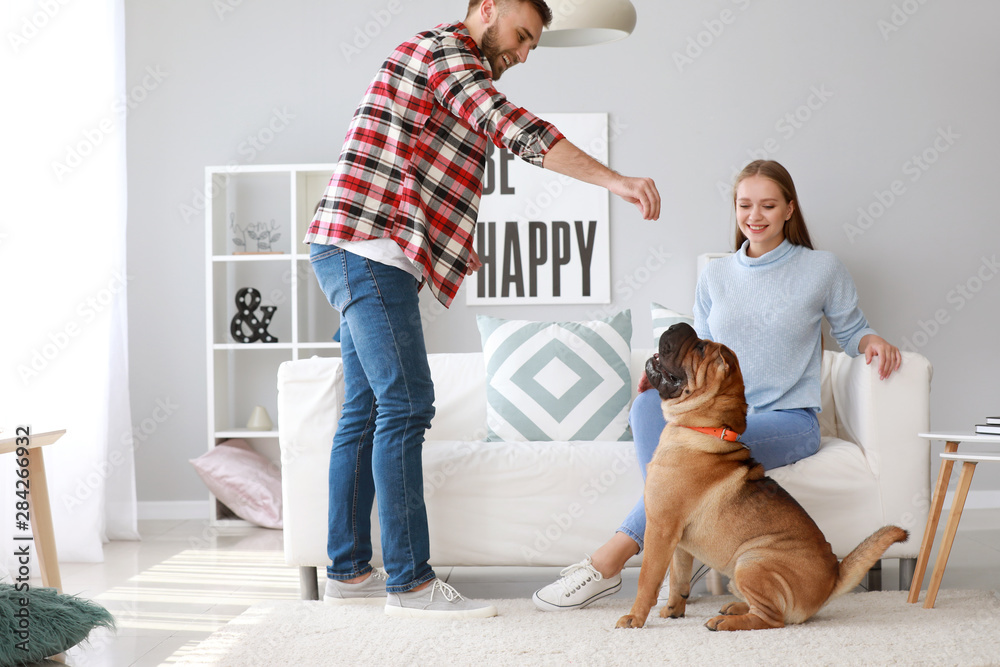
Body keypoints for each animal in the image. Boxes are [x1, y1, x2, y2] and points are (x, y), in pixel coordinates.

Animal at [612, 324, 912, 632]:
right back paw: (733, 607)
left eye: (700, 348)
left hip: (751, 561)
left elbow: (648, 577)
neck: (704, 429)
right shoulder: (679, 541)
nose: (677, 326)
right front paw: (673, 609)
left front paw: (634, 618)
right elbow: (678, 577)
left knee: (771, 619)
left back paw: (725, 622)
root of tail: (832, 577)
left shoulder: (660, 527)